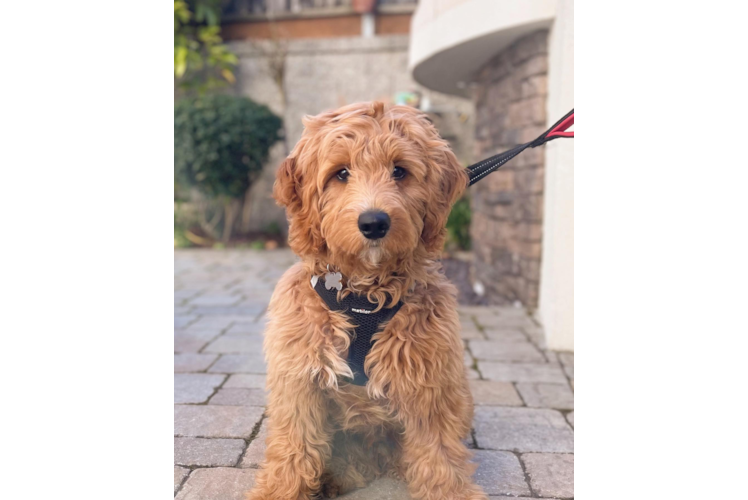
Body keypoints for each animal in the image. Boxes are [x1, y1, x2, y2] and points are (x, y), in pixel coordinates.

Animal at [248, 101, 488, 500]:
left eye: (400, 171)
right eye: (341, 173)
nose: (374, 223)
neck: (364, 295)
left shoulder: (429, 386)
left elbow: (438, 454)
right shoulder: (298, 381)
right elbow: (294, 447)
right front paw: (280, 492)